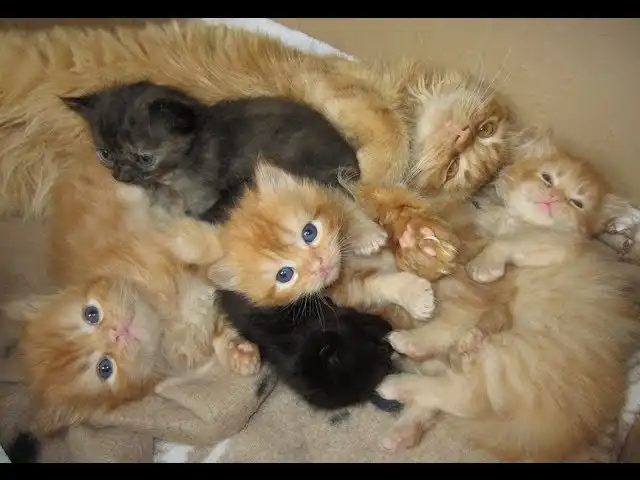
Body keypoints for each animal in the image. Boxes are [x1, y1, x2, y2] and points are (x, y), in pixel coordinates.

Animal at [8, 161, 258, 437]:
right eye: (104, 368)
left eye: (91, 314)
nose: (117, 333)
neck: (164, 316)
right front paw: (238, 351)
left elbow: (205, 248)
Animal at [374, 132, 640, 461]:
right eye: (547, 178)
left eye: (576, 202)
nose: (554, 199)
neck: (518, 221)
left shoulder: (558, 245)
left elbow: (503, 248)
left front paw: (483, 266)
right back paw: (408, 423)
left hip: (517, 357)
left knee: (465, 395)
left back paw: (398, 377)